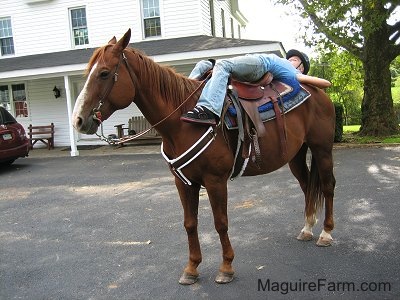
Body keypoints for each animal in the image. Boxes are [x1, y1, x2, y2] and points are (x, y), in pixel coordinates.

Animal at [72, 29, 338, 286]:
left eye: (104, 73)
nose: (79, 120)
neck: (181, 122)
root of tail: (318, 93)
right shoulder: (183, 182)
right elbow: (190, 223)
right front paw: (191, 269)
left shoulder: (215, 180)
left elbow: (220, 222)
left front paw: (226, 267)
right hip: (296, 155)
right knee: (307, 185)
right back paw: (307, 229)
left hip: (322, 149)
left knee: (327, 186)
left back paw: (325, 234)